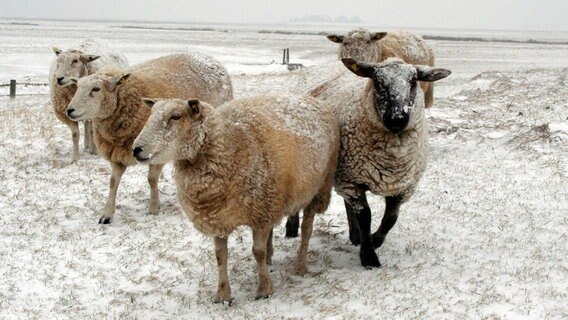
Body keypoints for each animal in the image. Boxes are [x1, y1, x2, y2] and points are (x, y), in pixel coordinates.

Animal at [66, 52, 233, 224]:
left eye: (96, 89)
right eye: (77, 87)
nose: (69, 110)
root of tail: (208, 57)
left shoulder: (156, 151)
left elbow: (151, 179)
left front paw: (154, 207)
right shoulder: (116, 155)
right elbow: (113, 183)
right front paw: (107, 214)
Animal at [132, 94, 338, 302]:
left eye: (176, 116)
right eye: (151, 114)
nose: (136, 149)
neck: (229, 146)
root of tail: (310, 98)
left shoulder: (260, 214)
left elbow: (257, 252)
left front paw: (264, 289)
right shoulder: (218, 218)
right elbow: (220, 256)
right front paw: (223, 295)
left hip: (317, 190)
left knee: (306, 230)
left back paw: (300, 266)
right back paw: (271, 258)